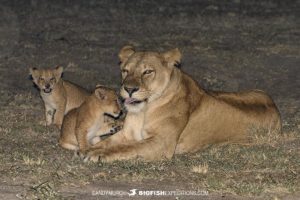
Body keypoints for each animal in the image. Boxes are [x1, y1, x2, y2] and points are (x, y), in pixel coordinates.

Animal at [85, 46, 282, 162]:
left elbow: (128, 148)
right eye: (125, 70)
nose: (129, 89)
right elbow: (111, 142)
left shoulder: (162, 144)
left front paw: (98, 154)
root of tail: (274, 106)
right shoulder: (127, 134)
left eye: (148, 72)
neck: (144, 110)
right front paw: (90, 149)